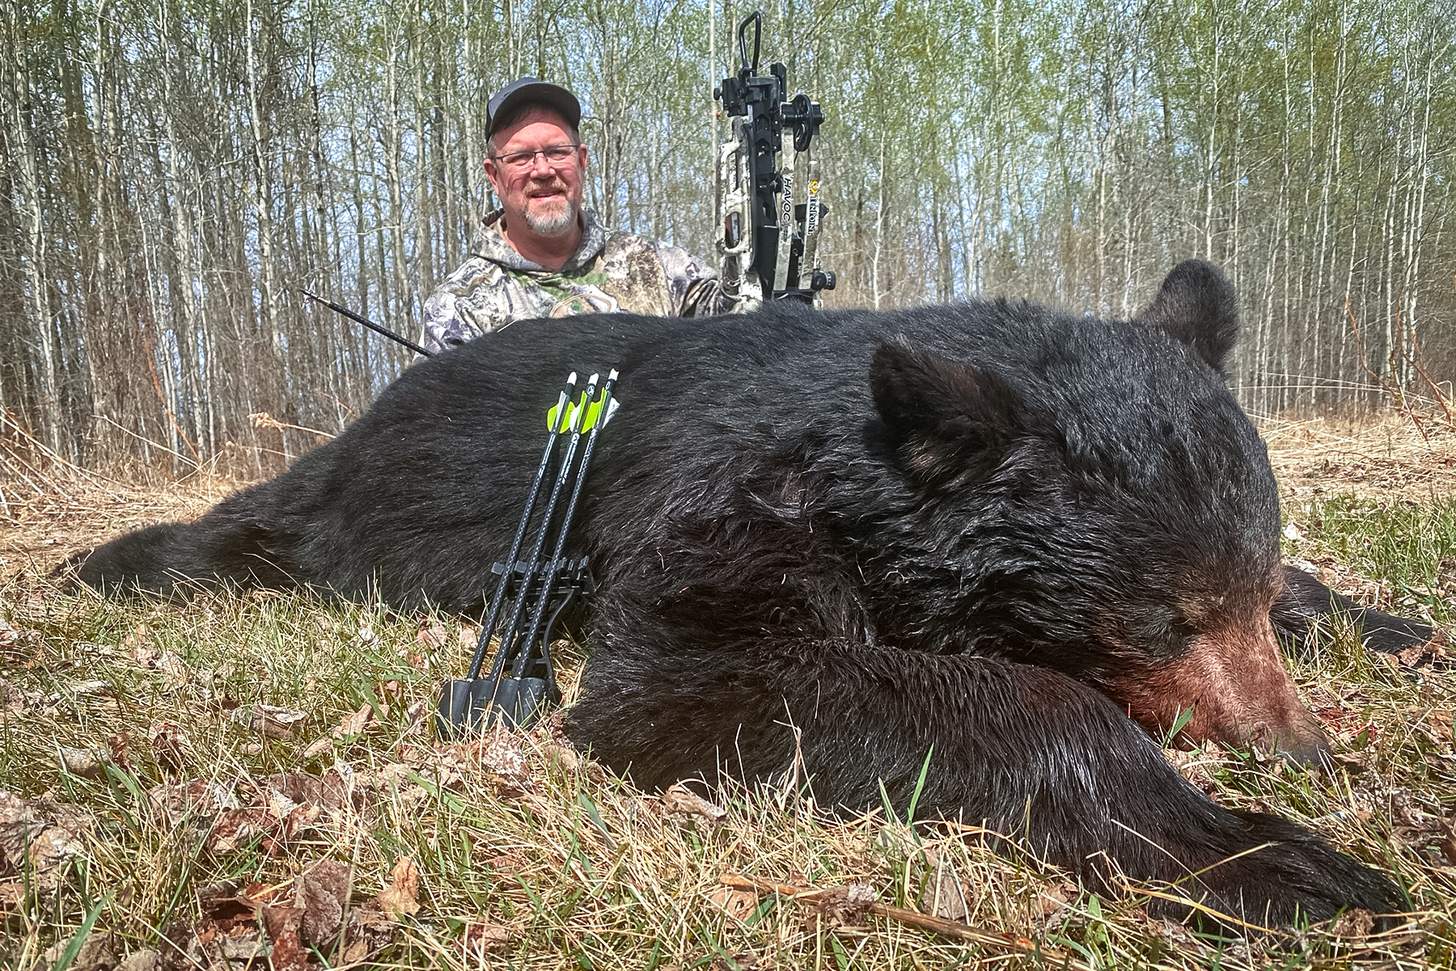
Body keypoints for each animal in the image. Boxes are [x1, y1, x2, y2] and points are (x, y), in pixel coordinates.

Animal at [71, 260, 1403, 927]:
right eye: (1156, 617)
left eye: (1245, 587)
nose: (1295, 749)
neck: (859, 460)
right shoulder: (723, 509)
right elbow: (693, 675)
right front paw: (1255, 850)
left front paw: (1378, 620)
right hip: (359, 493)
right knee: (268, 521)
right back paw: (118, 560)